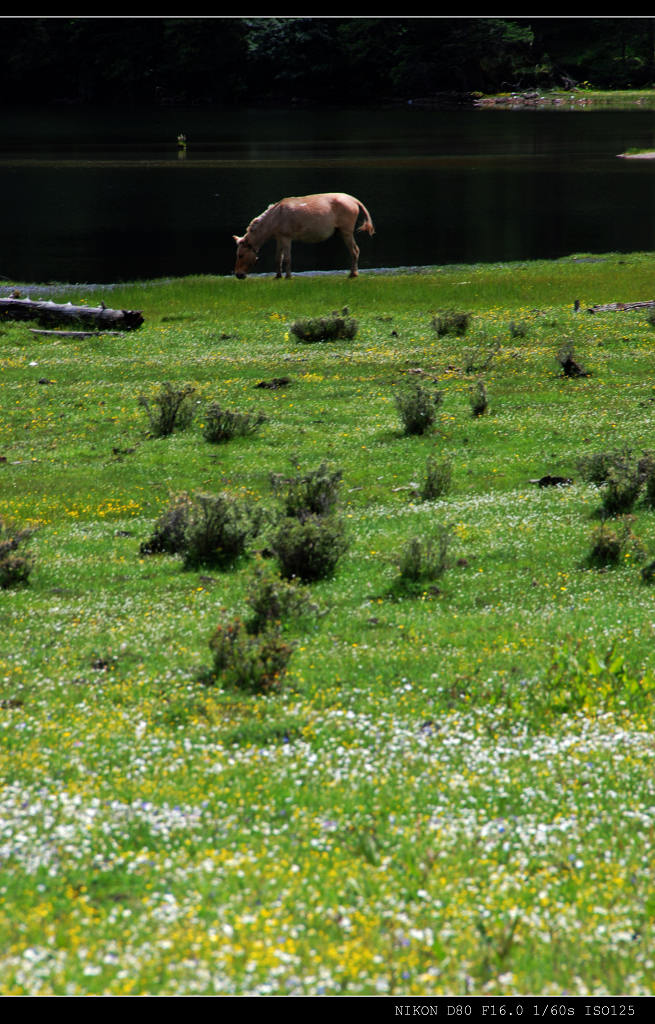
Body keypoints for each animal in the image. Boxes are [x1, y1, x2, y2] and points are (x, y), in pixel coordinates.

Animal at [231, 192, 372, 278]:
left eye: (240, 255)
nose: (238, 274)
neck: (274, 218)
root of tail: (354, 200)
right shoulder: (279, 238)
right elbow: (278, 258)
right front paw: (278, 276)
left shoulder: (286, 237)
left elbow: (287, 258)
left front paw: (288, 277)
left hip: (346, 231)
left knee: (355, 251)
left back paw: (353, 274)